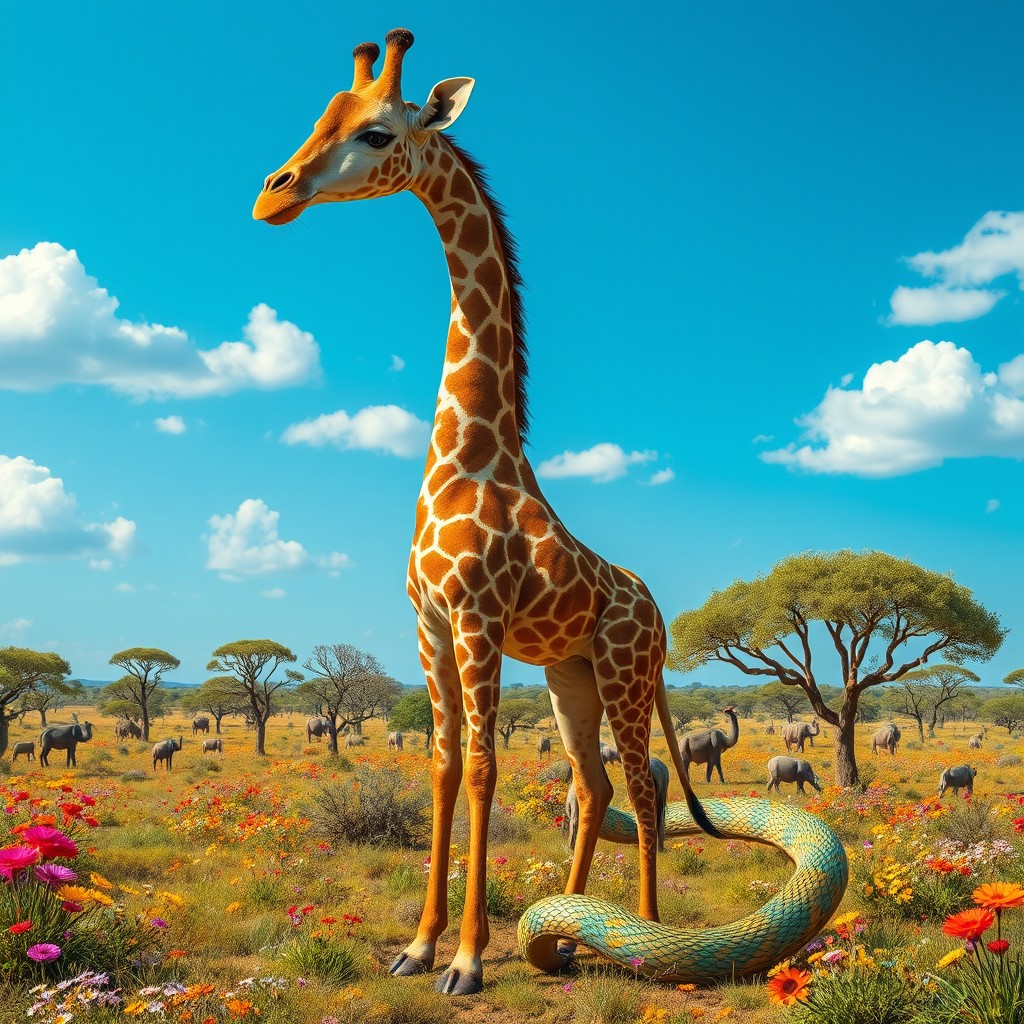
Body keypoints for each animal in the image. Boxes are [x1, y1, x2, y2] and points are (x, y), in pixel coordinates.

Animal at [253, 29, 718, 994]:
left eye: (379, 133)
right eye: (320, 118)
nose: (272, 193)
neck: (469, 457)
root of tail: (655, 608)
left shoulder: (478, 621)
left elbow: (483, 768)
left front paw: (466, 960)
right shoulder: (428, 625)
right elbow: (440, 767)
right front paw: (419, 946)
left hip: (624, 672)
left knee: (642, 787)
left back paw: (651, 938)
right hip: (573, 676)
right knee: (594, 786)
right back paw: (568, 937)